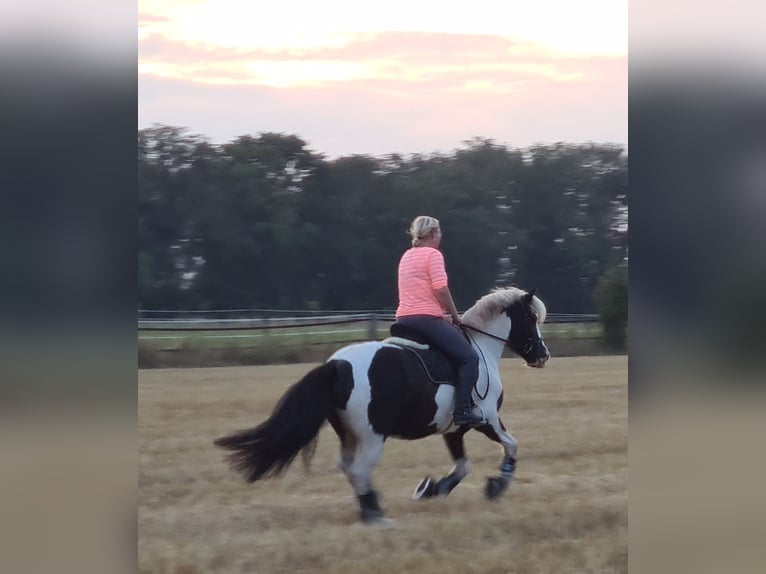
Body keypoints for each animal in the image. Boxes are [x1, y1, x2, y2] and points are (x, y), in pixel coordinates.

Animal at [214, 286, 552, 524]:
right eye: (531, 318)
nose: (542, 354)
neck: (480, 349)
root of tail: (337, 365)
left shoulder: (453, 429)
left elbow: (462, 466)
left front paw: (432, 489)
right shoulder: (486, 419)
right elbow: (511, 445)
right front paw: (497, 485)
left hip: (349, 435)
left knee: (349, 468)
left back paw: (372, 507)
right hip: (373, 437)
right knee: (359, 469)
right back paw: (375, 514)